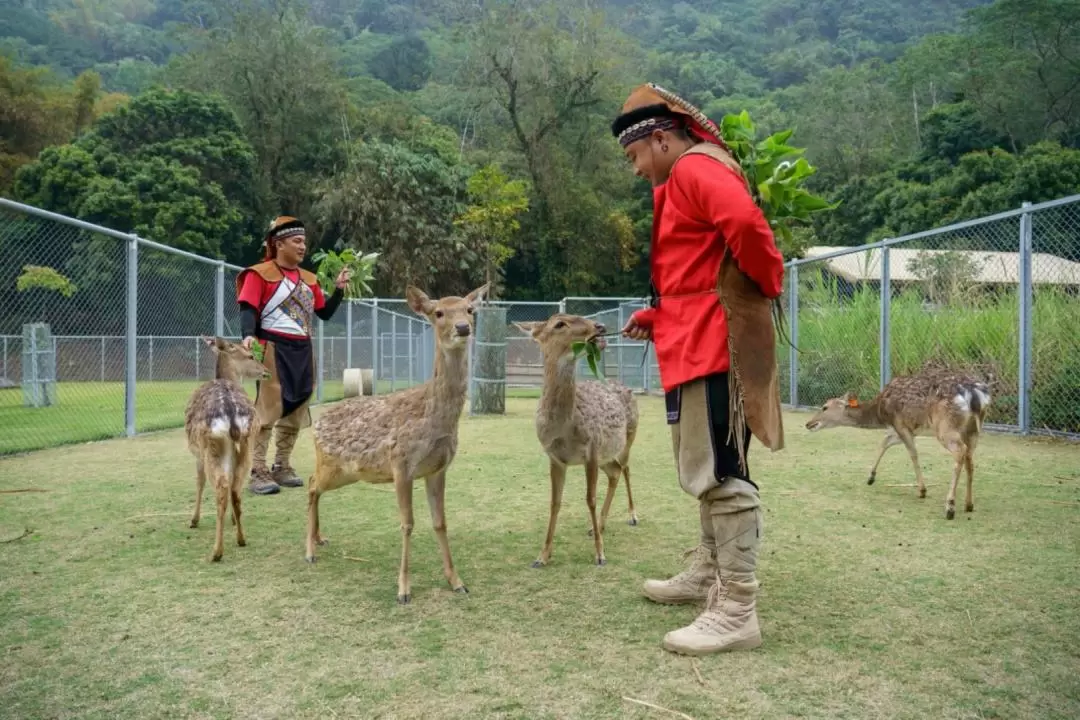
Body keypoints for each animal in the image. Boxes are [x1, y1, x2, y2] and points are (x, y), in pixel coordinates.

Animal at [185, 338, 270, 561]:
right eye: (251, 356)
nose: (266, 371)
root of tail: (231, 417)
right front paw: (232, 520)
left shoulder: (197, 453)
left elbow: (199, 482)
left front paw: (193, 520)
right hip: (247, 443)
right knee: (236, 489)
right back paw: (241, 538)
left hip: (212, 446)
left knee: (222, 488)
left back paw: (217, 551)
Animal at [304, 284, 490, 604]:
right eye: (438, 312)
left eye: (469, 309)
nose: (463, 327)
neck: (434, 419)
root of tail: (317, 421)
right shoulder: (401, 464)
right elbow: (407, 524)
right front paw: (403, 589)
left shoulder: (438, 469)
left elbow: (440, 522)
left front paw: (456, 581)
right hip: (331, 465)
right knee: (311, 484)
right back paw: (309, 551)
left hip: (344, 473)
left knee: (314, 485)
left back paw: (320, 538)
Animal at [516, 315, 639, 569]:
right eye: (559, 324)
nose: (600, 326)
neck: (563, 428)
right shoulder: (555, 458)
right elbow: (555, 502)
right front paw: (542, 556)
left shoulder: (590, 450)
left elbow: (590, 499)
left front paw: (600, 555)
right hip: (606, 455)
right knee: (615, 472)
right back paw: (597, 527)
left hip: (627, 439)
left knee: (625, 469)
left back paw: (632, 516)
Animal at [807, 371, 989, 518]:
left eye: (824, 407)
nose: (809, 423)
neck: (880, 413)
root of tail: (975, 395)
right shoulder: (903, 429)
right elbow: (884, 443)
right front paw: (871, 477)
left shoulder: (900, 424)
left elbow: (912, 453)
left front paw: (922, 490)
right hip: (973, 430)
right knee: (970, 459)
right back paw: (968, 504)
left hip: (946, 427)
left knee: (960, 451)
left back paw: (950, 506)